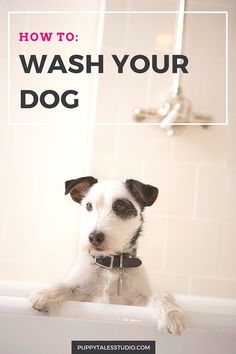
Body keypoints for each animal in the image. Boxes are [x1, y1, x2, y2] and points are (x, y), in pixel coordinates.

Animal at [29, 176, 185, 336]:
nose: (94, 238)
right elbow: (65, 285)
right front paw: (45, 295)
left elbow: (160, 293)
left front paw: (172, 314)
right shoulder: (82, 294)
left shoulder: (137, 302)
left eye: (121, 206)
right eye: (89, 206)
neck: (110, 264)